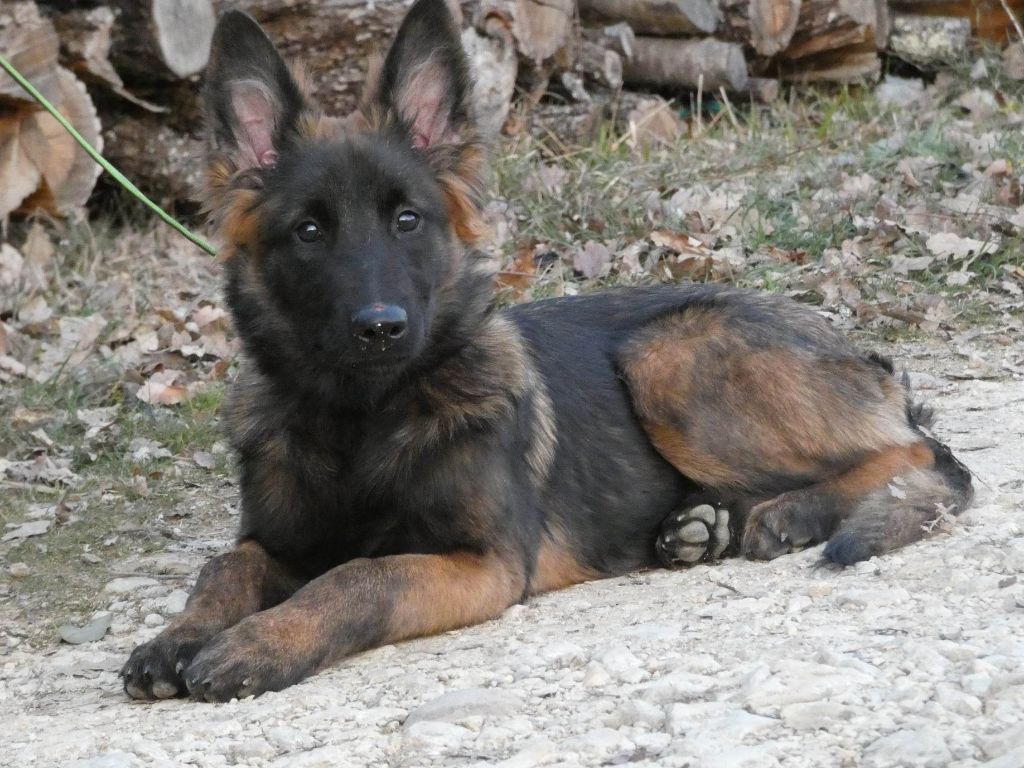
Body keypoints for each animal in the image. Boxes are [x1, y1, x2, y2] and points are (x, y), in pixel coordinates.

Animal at [121, 0, 973, 702]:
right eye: (308, 231)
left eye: (407, 220)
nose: (381, 326)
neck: (363, 417)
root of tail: (866, 359)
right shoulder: (278, 541)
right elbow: (225, 566)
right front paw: (177, 636)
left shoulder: (483, 565)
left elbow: (360, 579)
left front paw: (261, 643)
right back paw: (704, 526)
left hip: (668, 354)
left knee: (922, 457)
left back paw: (791, 512)